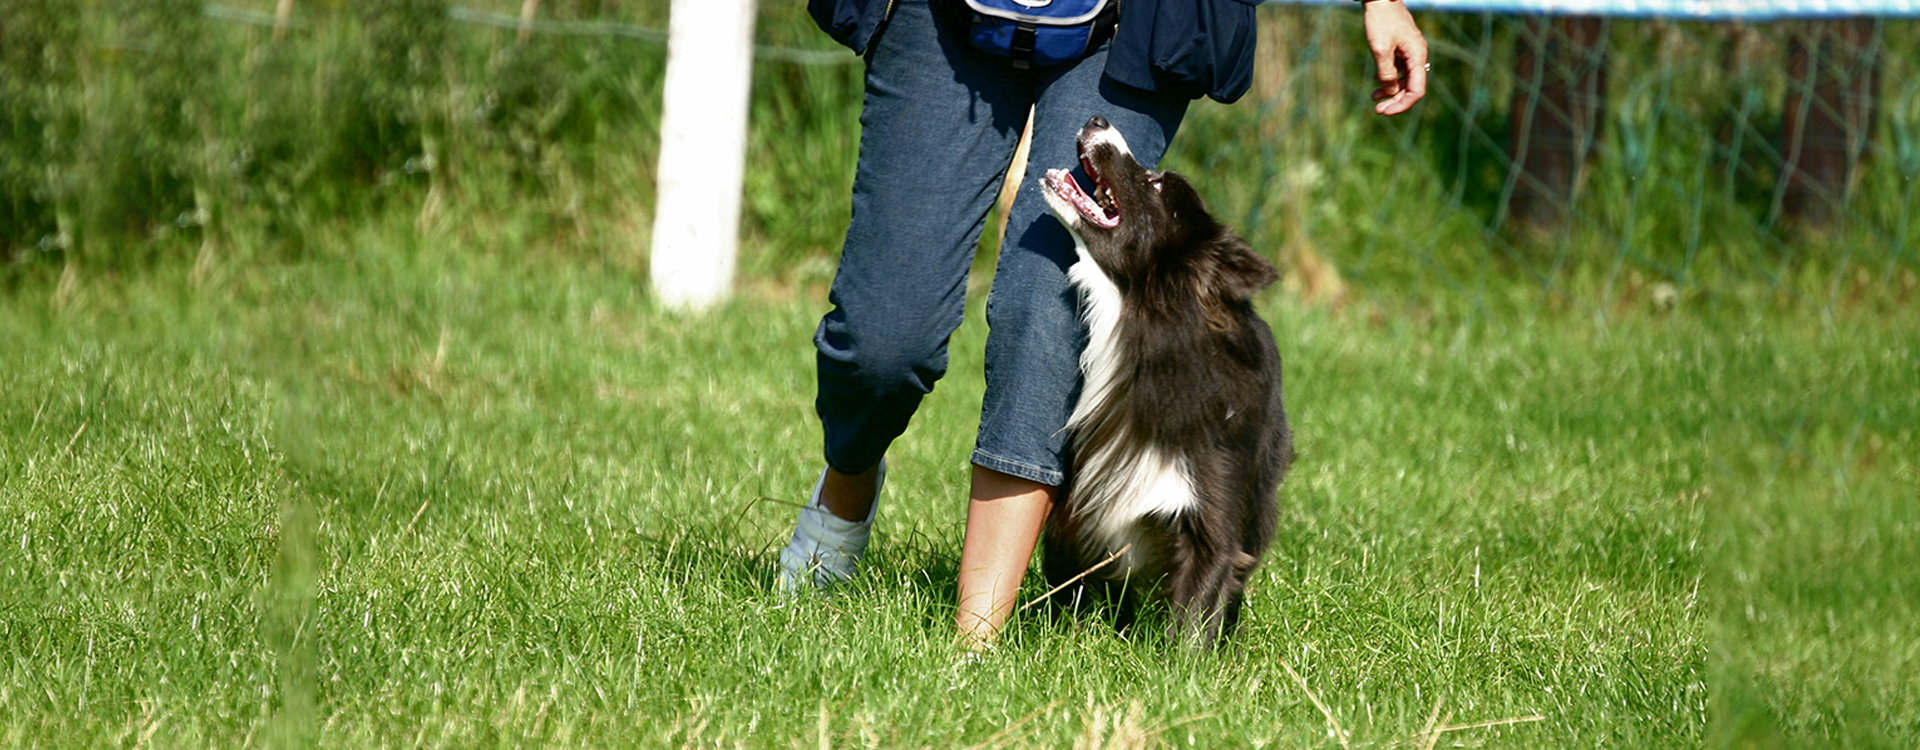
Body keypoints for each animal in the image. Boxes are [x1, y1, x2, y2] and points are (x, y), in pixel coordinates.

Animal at [1036, 114, 1290, 648]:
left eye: (1154, 185)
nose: (1098, 118)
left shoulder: (1214, 521)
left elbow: (1195, 615)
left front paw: (1179, 666)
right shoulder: (1081, 504)